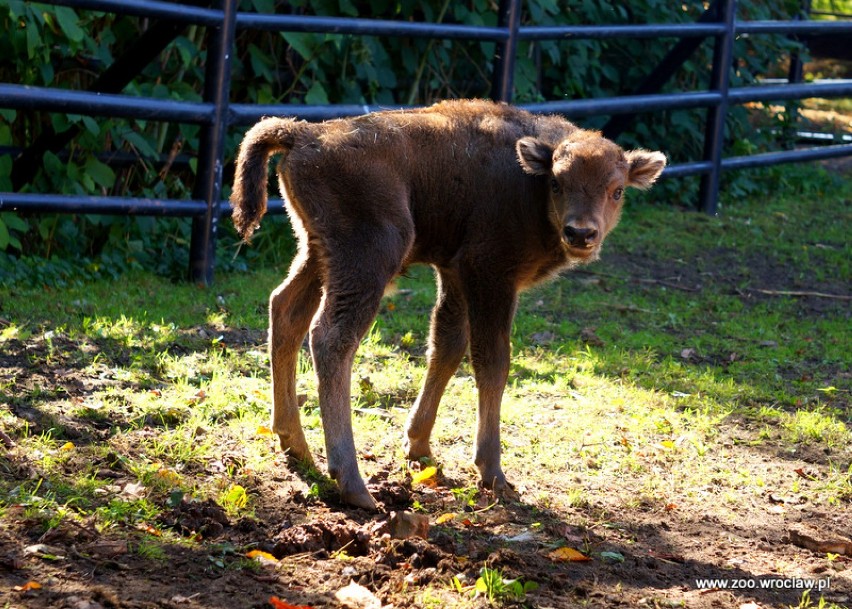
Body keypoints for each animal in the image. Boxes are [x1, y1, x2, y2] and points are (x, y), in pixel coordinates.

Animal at [231, 100, 664, 508]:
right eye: (557, 183)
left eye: (617, 190)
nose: (580, 233)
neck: (530, 184)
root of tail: (305, 134)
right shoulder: (490, 276)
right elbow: (492, 363)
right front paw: (493, 472)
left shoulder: (455, 274)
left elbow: (447, 348)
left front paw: (418, 445)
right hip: (370, 256)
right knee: (332, 338)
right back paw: (353, 484)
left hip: (316, 251)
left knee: (285, 310)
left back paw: (296, 445)